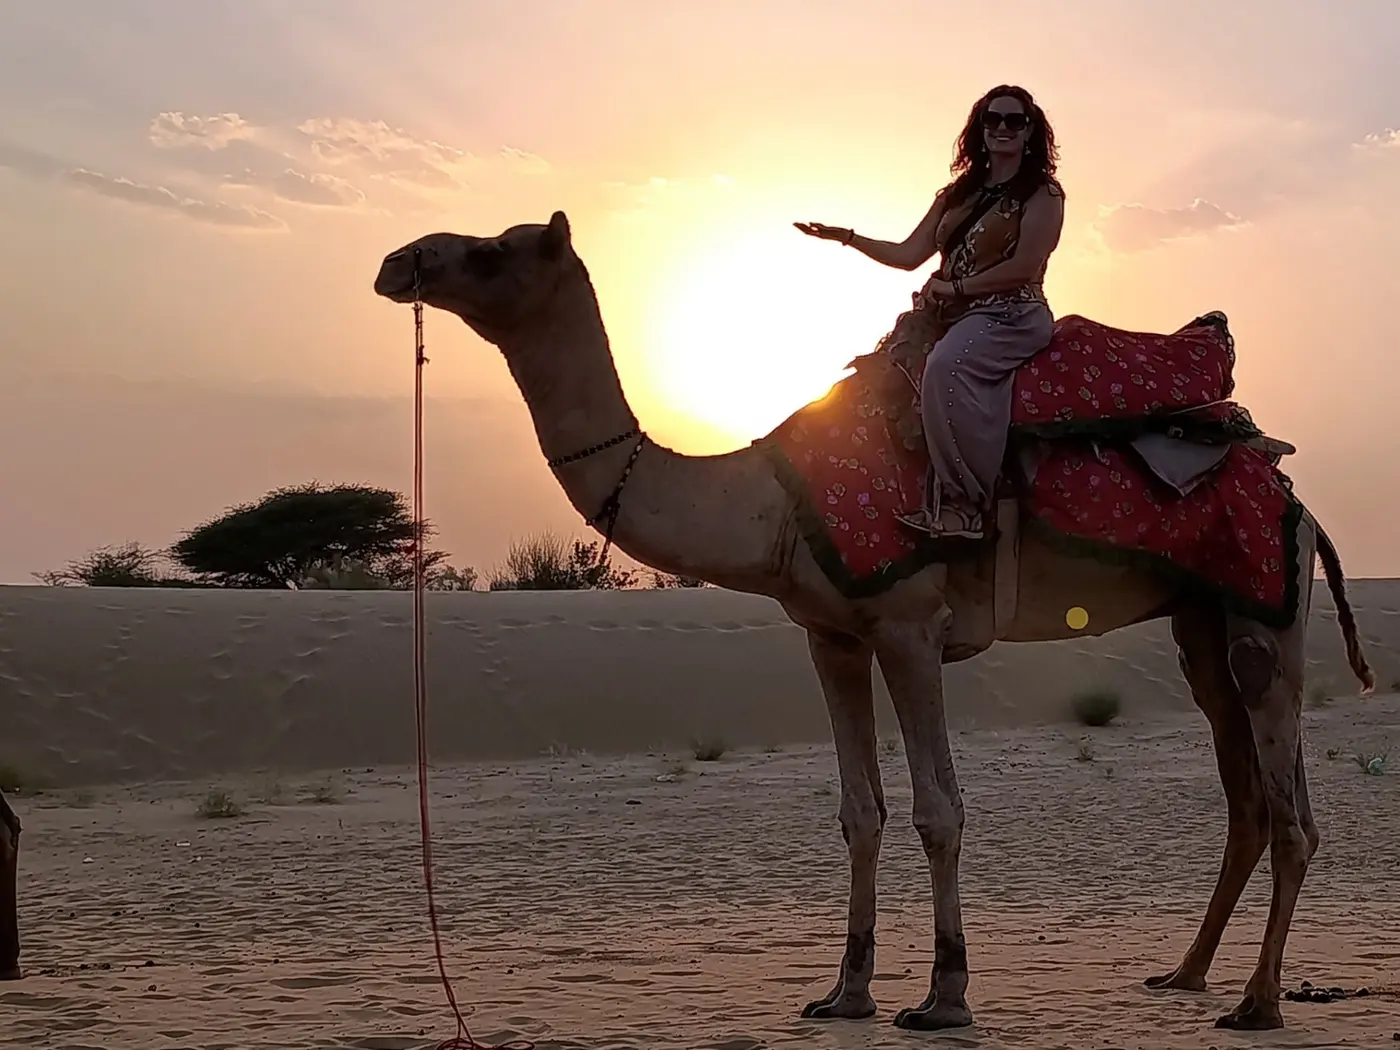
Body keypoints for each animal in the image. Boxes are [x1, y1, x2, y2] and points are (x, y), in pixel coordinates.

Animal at [373, 211, 1374, 1033]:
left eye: (492, 251)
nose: (397, 261)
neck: (770, 502)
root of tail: (1291, 492)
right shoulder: (832, 637)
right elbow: (861, 809)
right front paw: (843, 992)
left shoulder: (908, 627)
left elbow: (940, 807)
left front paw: (944, 996)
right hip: (1203, 620)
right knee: (1247, 795)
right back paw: (1187, 974)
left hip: (1263, 611)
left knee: (1290, 807)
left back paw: (1257, 1003)